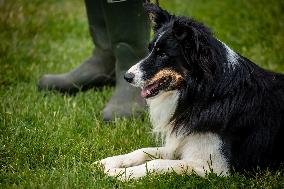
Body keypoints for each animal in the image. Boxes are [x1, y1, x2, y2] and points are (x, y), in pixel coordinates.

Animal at [96, 2, 282, 180]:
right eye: (150, 50)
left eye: (163, 54)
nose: (127, 76)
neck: (204, 93)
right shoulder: (182, 140)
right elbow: (145, 150)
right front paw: (110, 162)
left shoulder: (213, 166)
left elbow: (156, 163)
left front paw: (119, 174)